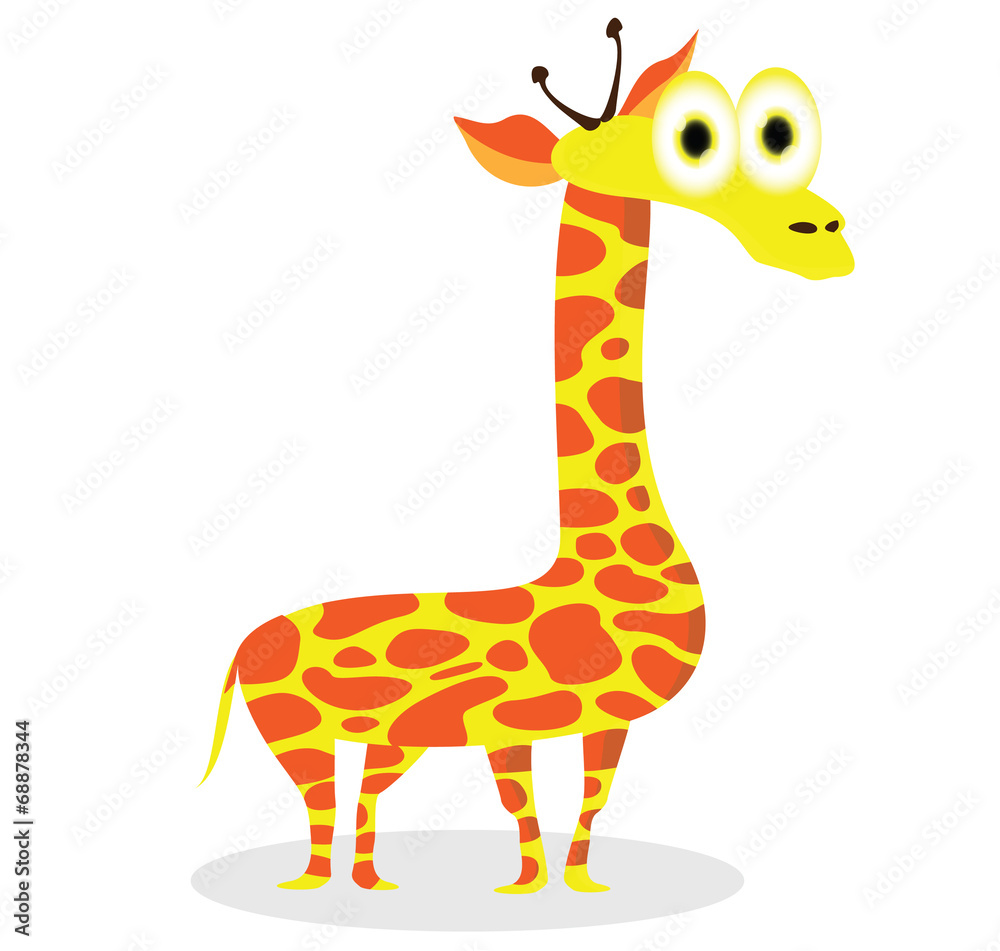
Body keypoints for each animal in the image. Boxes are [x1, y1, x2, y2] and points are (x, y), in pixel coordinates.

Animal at [200, 20, 853, 895]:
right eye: (693, 141)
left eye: (775, 135)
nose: (825, 238)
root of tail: (242, 647)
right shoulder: (500, 723)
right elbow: (524, 802)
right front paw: (526, 889)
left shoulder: (599, 719)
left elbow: (590, 797)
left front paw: (575, 887)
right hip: (297, 728)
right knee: (318, 803)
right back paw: (313, 887)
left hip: (387, 737)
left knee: (361, 793)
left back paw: (373, 884)